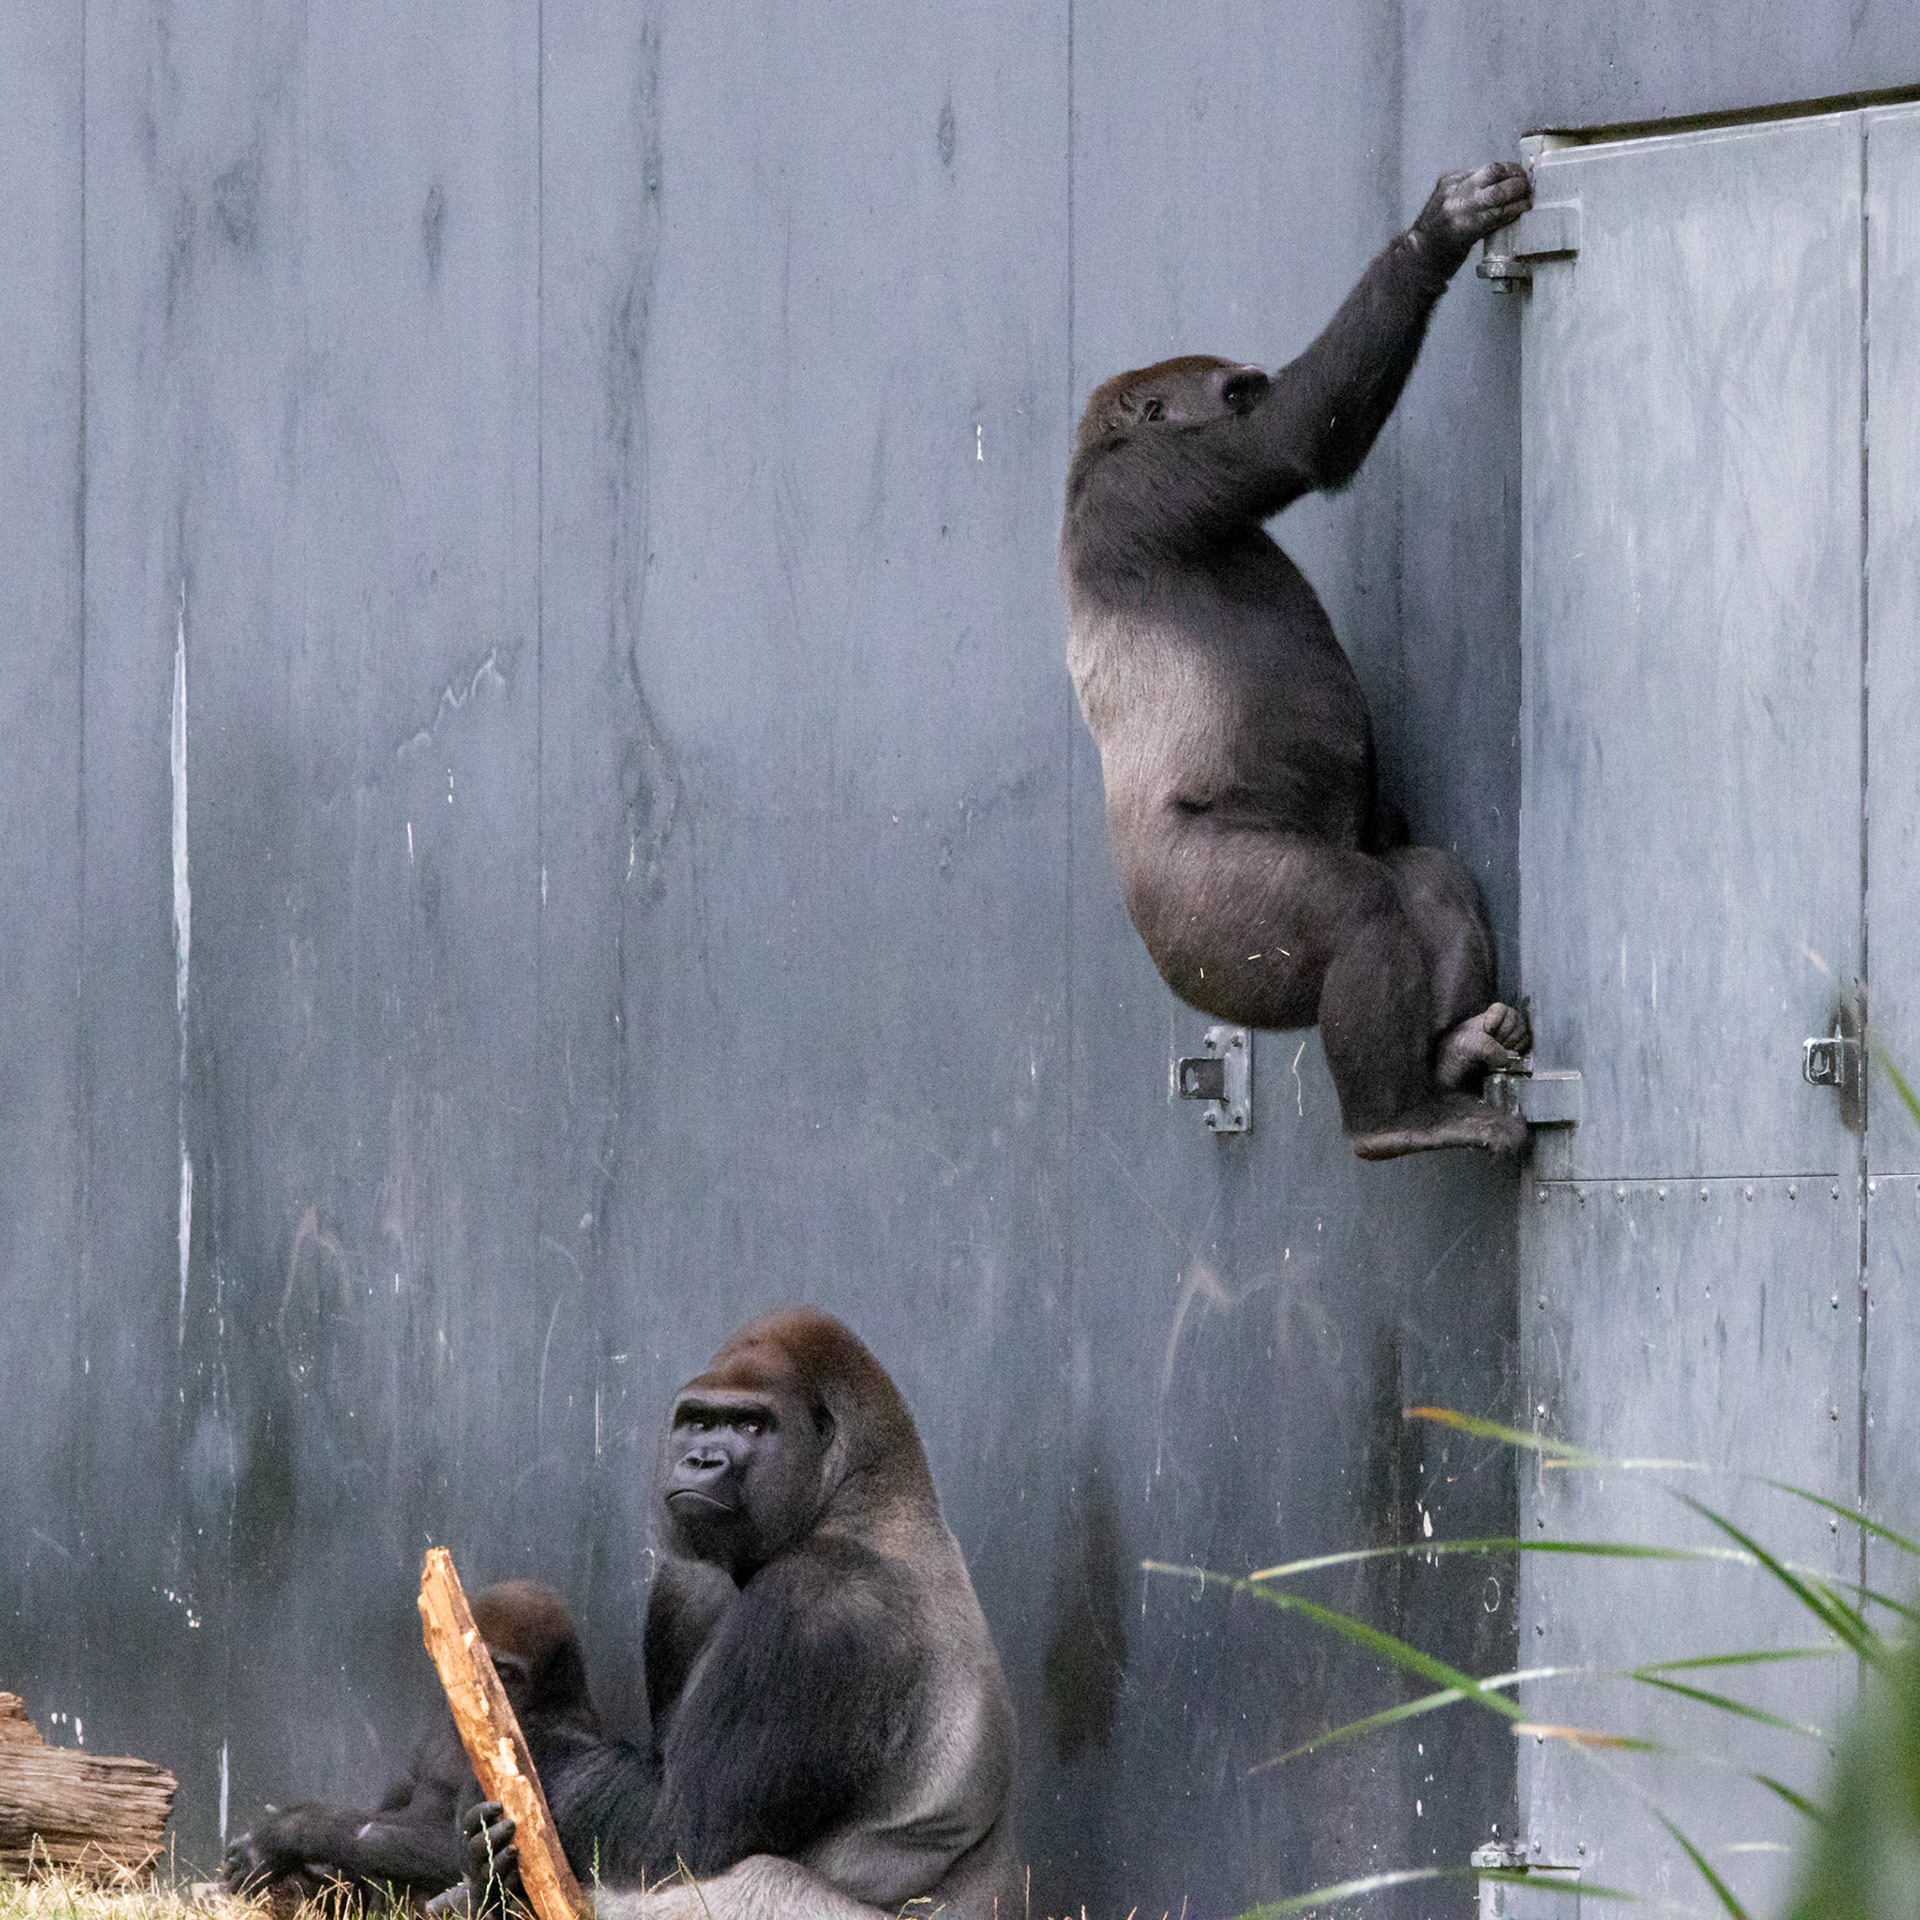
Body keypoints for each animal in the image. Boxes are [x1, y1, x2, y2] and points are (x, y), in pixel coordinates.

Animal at [224, 1580, 600, 1906]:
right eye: (473, 1660)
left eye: (506, 1672)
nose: (483, 1689)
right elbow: (403, 1790)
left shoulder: (551, 1738)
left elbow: (464, 1844)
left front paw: (281, 1834)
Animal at [459, 1309, 1018, 1920]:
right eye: (700, 1423)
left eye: (752, 1426)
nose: (702, 1460)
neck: (865, 1493)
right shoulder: (688, 1578)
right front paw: (485, 1861)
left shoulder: (815, 1603)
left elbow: (673, 1832)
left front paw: (526, 1730)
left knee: (762, 1880)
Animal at [1062, 162, 1537, 1159]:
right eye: (1237, 394)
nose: (1260, 380)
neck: (1105, 449)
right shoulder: (1148, 484)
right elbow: (1294, 439)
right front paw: (1432, 238)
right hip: (1206, 938)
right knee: (1355, 912)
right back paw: (1393, 1122)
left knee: (1419, 879)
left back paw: (1443, 1058)